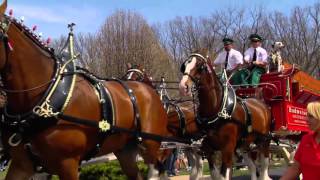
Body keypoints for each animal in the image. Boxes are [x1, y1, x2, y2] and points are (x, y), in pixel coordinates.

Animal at [179, 49, 272, 180]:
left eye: (200, 66)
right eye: (184, 66)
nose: (183, 86)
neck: (216, 110)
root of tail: (259, 101)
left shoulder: (227, 148)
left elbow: (223, 175)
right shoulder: (208, 149)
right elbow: (215, 174)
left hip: (264, 141)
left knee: (264, 167)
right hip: (245, 145)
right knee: (253, 167)